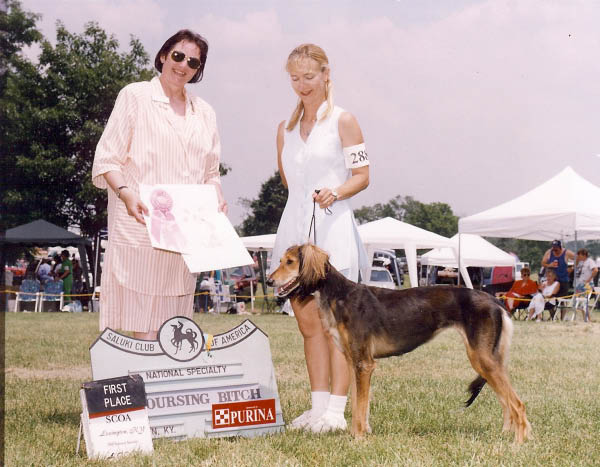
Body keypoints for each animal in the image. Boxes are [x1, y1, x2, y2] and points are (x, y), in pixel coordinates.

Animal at [270, 243, 532, 444]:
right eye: (281, 260)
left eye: (290, 262)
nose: (270, 281)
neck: (339, 295)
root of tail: (494, 300)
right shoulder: (354, 362)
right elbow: (358, 404)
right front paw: (359, 434)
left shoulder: (364, 363)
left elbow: (360, 407)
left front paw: (358, 438)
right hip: (488, 361)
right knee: (506, 402)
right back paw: (505, 436)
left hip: (482, 359)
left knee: (518, 404)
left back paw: (517, 444)